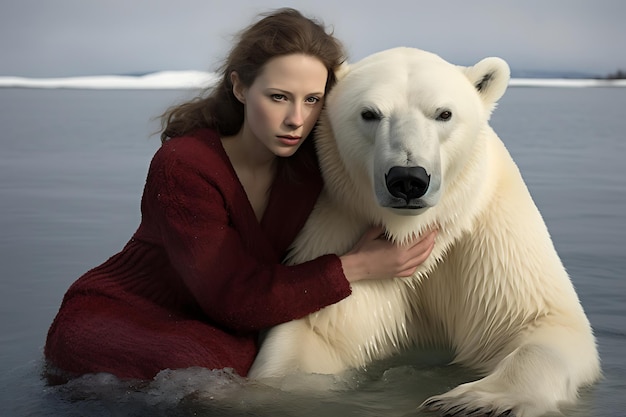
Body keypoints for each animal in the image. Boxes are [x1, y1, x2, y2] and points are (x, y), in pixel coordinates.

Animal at [246, 47, 596, 414]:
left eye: (444, 113)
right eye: (369, 113)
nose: (408, 179)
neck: (412, 229)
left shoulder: (489, 235)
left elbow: (542, 320)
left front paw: (471, 400)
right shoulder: (345, 228)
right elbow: (317, 330)